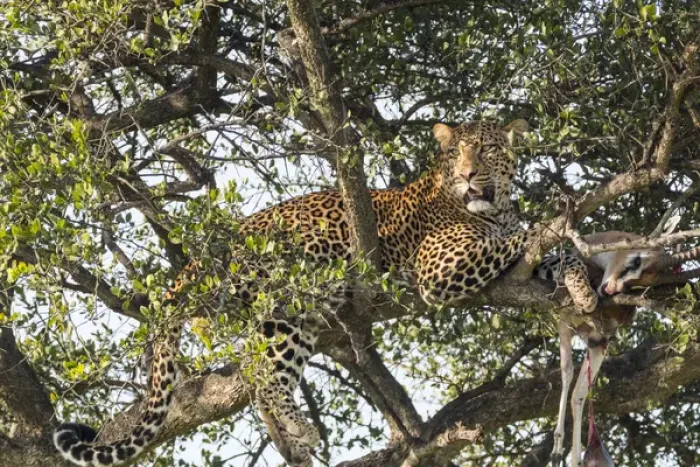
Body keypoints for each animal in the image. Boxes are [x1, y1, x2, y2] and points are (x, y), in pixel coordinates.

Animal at [53, 118, 599, 466]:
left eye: (484, 150)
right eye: (454, 153)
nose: (467, 174)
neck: (493, 205)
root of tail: (200, 260)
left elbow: (556, 252)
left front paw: (584, 290)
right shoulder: (439, 268)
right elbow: (525, 237)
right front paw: (553, 237)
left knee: (256, 373)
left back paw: (290, 438)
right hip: (286, 301)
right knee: (265, 375)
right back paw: (301, 429)